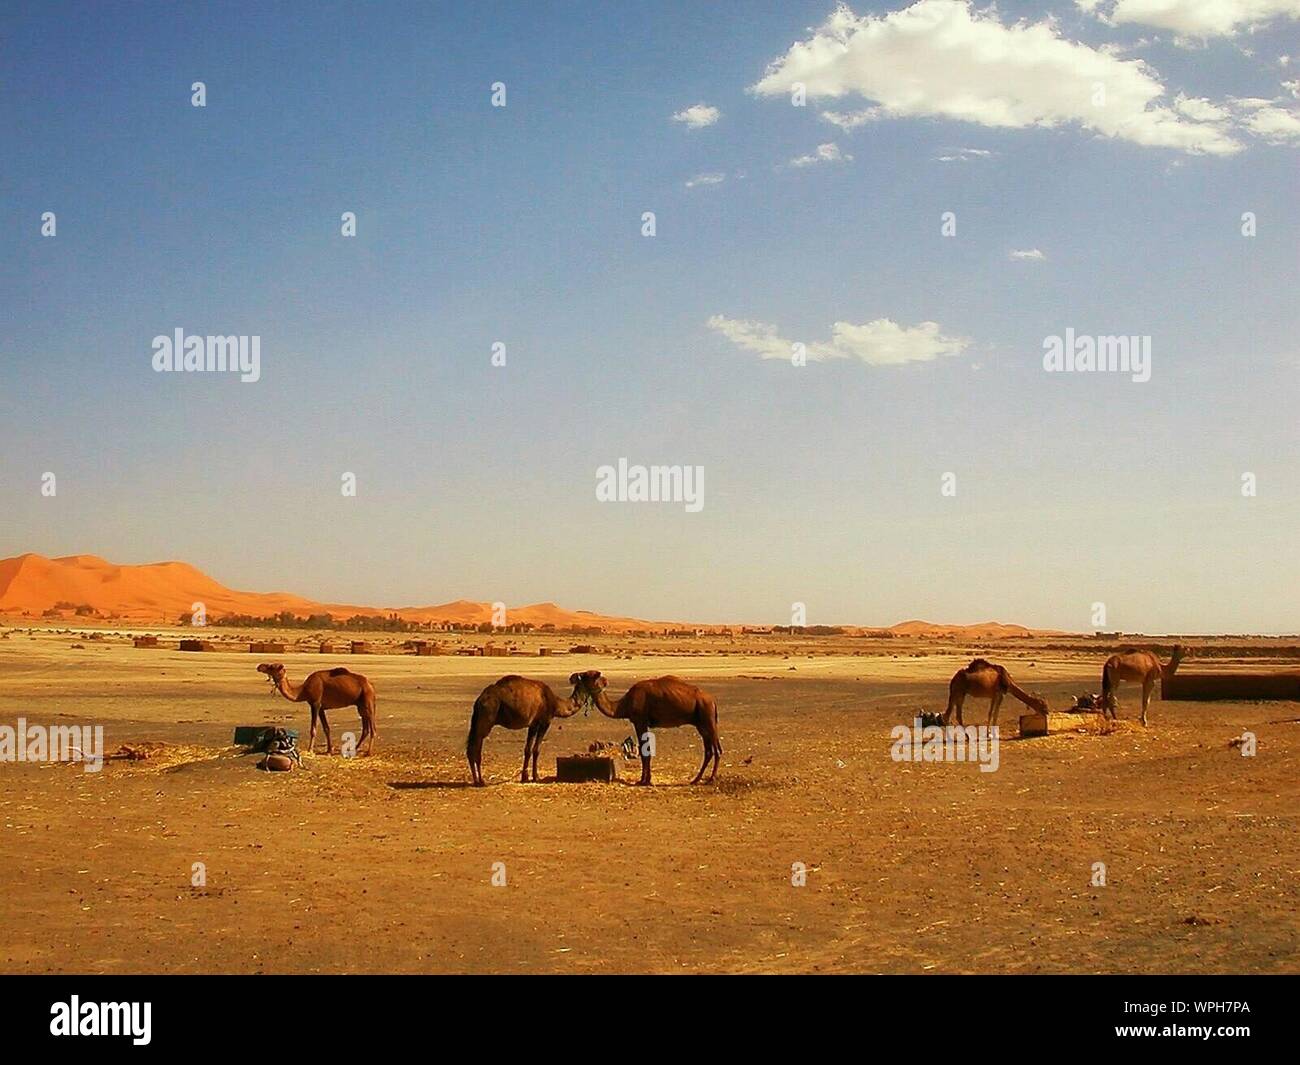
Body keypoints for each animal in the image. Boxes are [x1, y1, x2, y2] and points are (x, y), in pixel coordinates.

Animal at [570, 671, 720, 786]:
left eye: (584, 675)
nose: (572, 677)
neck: (623, 705)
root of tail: (713, 700)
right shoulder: (644, 723)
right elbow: (646, 750)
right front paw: (647, 779)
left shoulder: (640, 721)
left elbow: (644, 752)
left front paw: (643, 781)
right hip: (701, 724)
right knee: (708, 751)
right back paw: (696, 780)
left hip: (708, 717)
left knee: (717, 749)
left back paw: (710, 780)